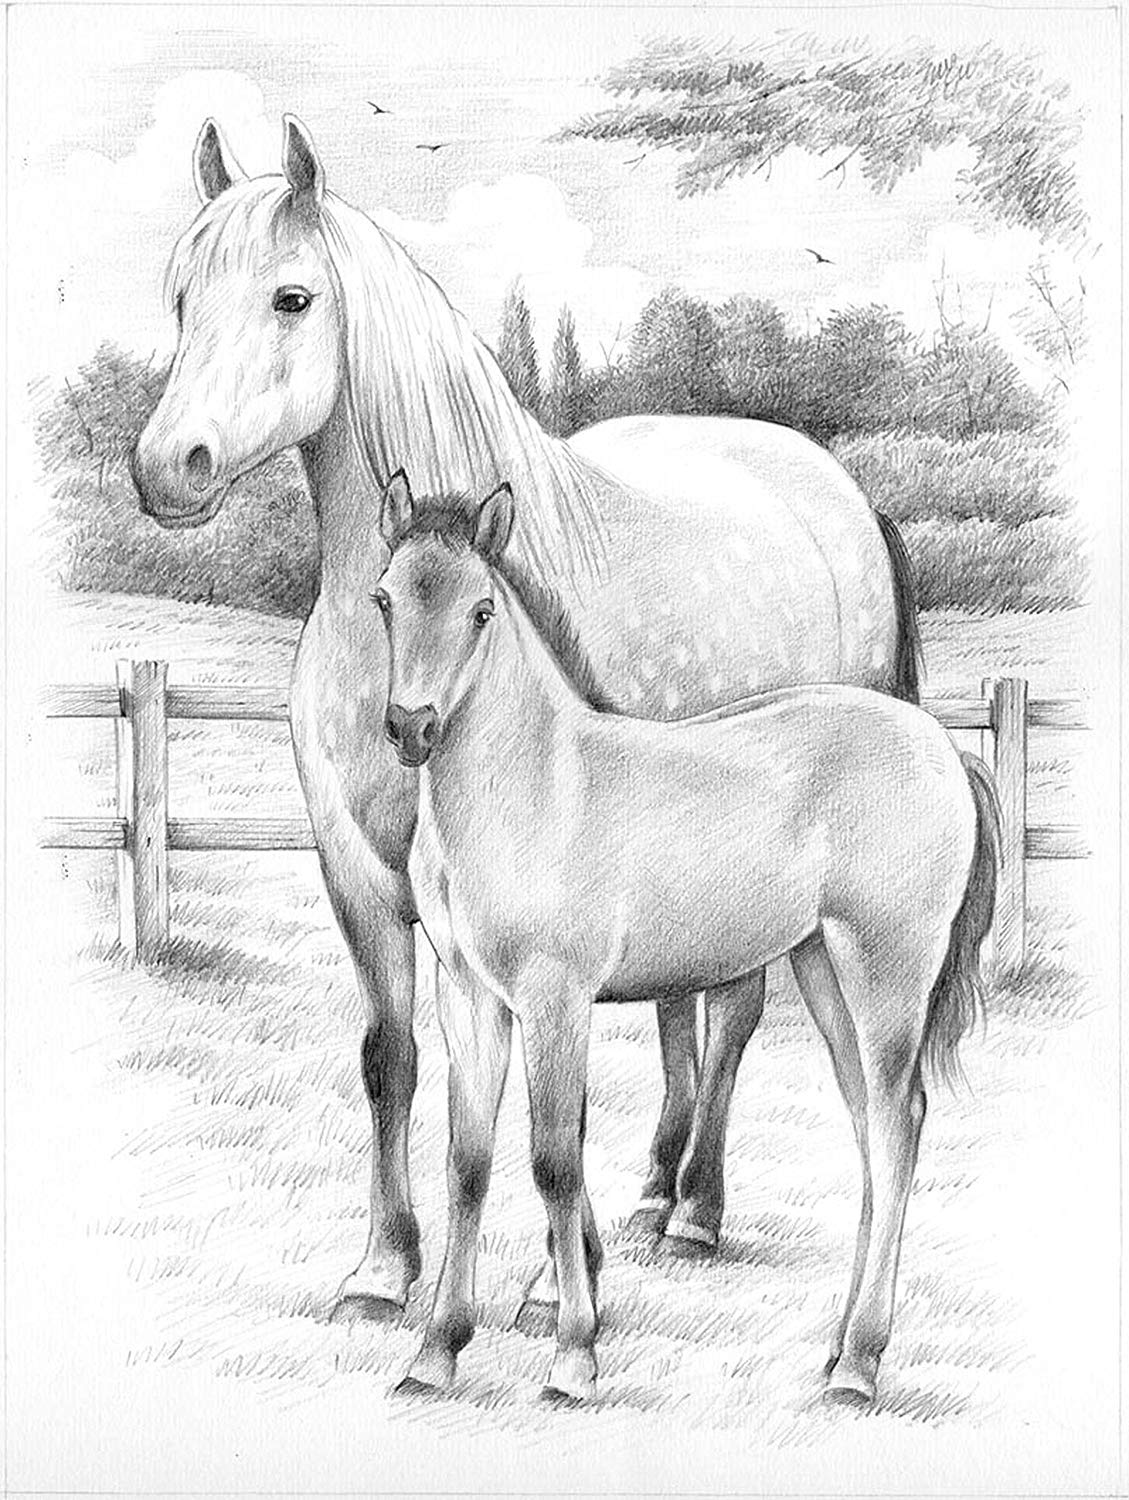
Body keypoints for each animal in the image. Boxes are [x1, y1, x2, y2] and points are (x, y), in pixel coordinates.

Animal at [131, 114, 924, 1319]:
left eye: (292, 298)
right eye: (181, 298)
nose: (167, 468)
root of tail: (834, 489)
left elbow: (564, 1097)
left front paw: (556, 1287)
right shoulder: (360, 874)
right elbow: (393, 1056)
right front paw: (385, 1269)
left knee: (735, 1013)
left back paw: (695, 1210)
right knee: (680, 1010)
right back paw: (652, 1193)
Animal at [371, 473, 1001, 1407]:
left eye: (481, 610)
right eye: (383, 599)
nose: (410, 728)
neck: (538, 785)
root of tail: (942, 749)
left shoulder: (556, 1000)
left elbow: (554, 1160)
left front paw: (573, 1356)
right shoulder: (469, 995)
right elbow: (468, 1162)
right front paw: (436, 1352)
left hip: (887, 972)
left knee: (897, 1126)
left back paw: (858, 1366)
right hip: (822, 967)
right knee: (867, 1128)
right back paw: (835, 1352)